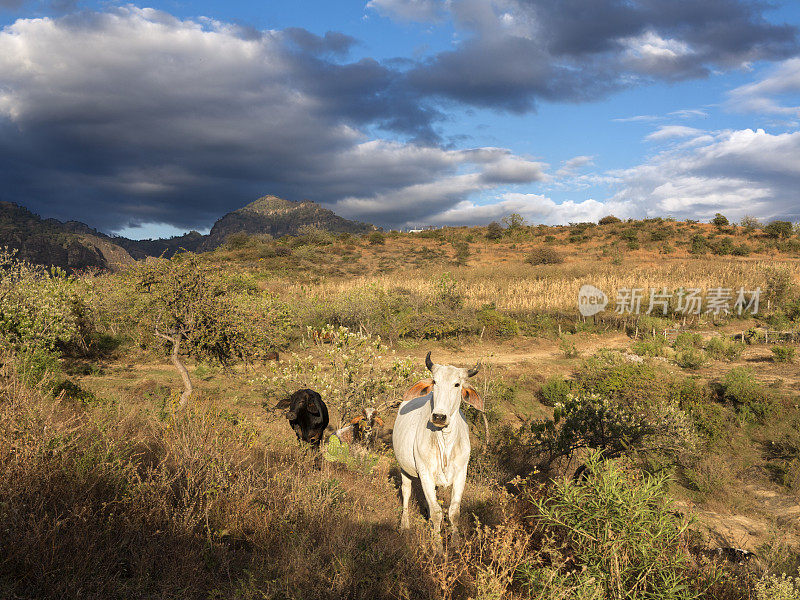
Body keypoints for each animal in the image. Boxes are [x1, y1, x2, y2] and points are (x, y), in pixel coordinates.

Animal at [392, 350, 482, 552]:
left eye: (457, 384)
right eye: (435, 382)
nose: (439, 416)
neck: (445, 440)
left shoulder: (461, 474)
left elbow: (454, 512)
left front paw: (455, 544)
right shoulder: (424, 472)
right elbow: (436, 512)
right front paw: (438, 547)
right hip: (404, 468)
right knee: (406, 493)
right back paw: (404, 524)